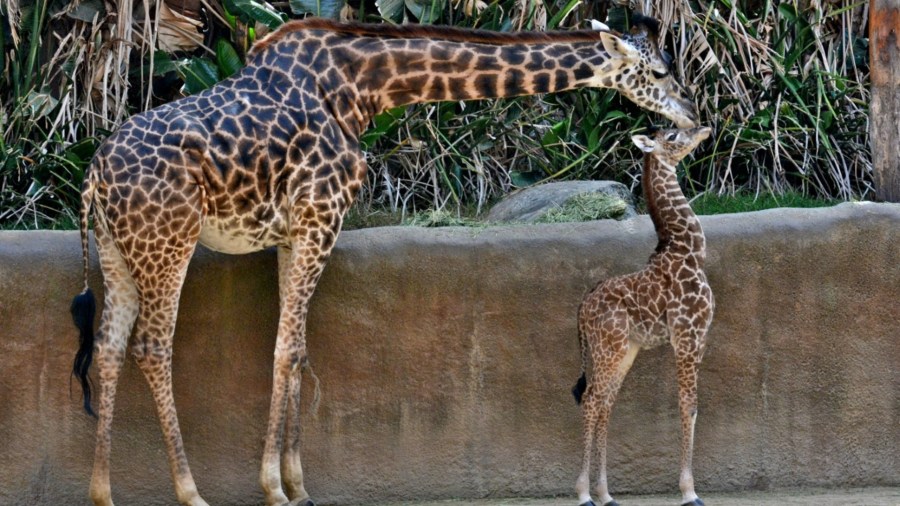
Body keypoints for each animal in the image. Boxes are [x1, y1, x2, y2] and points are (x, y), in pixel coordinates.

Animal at [72, 15, 696, 506]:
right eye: (659, 72)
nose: (691, 115)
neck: (363, 87)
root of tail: (94, 177)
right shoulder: (320, 216)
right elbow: (287, 349)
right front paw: (275, 488)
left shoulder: (294, 232)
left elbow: (296, 349)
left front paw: (298, 486)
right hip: (169, 242)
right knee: (152, 347)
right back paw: (189, 491)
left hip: (119, 252)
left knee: (108, 348)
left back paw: (102, 492)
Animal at [572, 126, 712, 506]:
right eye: (674, 134)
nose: (703, 128)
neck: (690, 251)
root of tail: (581, 309)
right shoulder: (688, 336)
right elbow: (689, 405)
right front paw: (689, 492)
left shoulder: (699, 338)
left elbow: (692, 406)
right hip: (609, 349)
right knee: (591, 400)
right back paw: (583, 494)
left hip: (623, 351)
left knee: (605, 404)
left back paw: (606, 494)